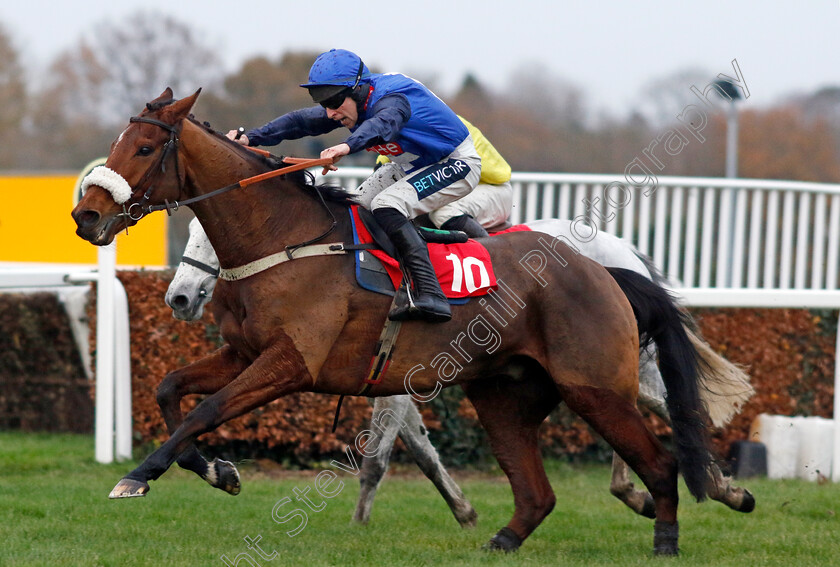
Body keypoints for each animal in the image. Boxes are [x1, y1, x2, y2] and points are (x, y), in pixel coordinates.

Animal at [74, 89, 716, 556]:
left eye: (142, 148)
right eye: (116, 141)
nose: (86, 215)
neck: (287, 238)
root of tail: (605, 270)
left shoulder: (291, 363)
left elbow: (206, 410)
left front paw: (140, 474)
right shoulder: (245, 353)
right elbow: (169, 389)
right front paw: (215, 469)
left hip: (596, 386)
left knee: (662, 457)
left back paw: (669, 533)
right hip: (503, 393)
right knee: (538, 492)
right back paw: (503, 541)